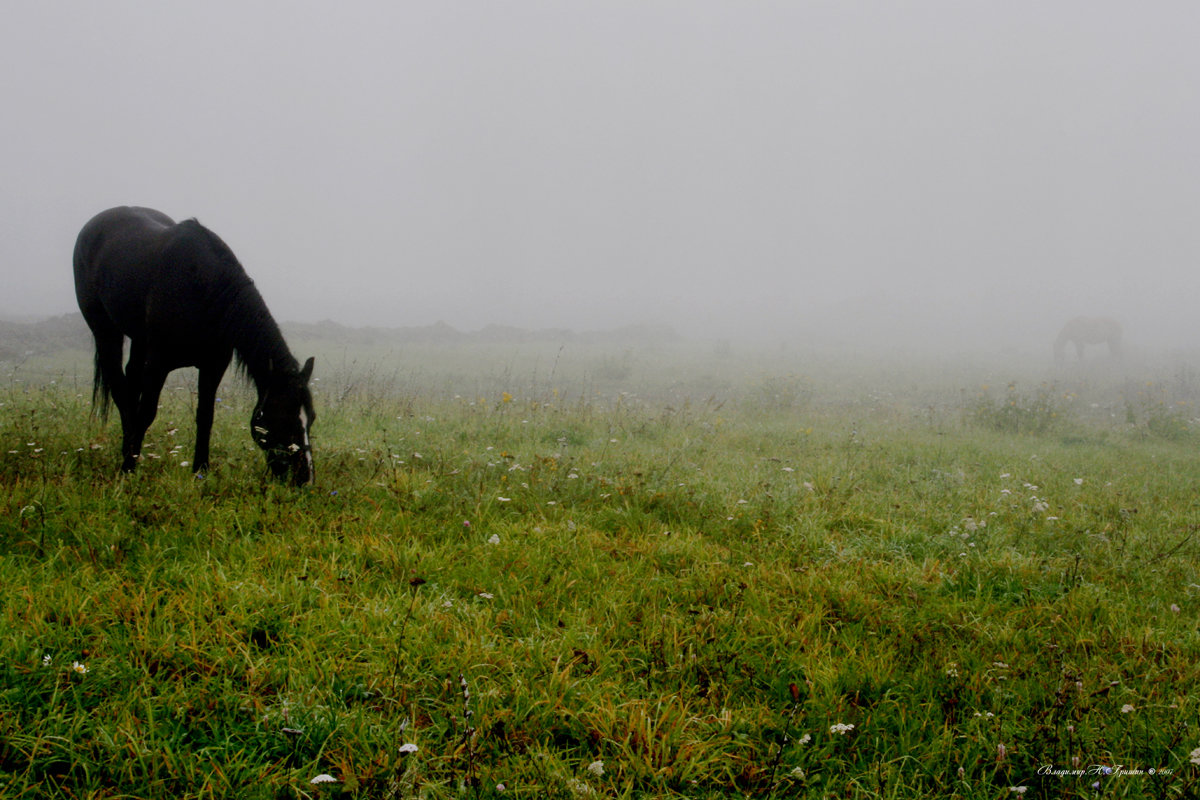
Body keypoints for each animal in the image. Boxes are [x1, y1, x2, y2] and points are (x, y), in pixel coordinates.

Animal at [72, 206, 316, 484]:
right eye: (283, 418)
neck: (201, 287)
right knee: (121, 391)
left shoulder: (213, 365)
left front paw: (201, 470)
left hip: (139, 341)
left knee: (131, 381)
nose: (305, 479)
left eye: (311, 418)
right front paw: (128, 469)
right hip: (105, 332)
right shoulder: (158, 363)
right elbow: (147, 413)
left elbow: (205, 416)